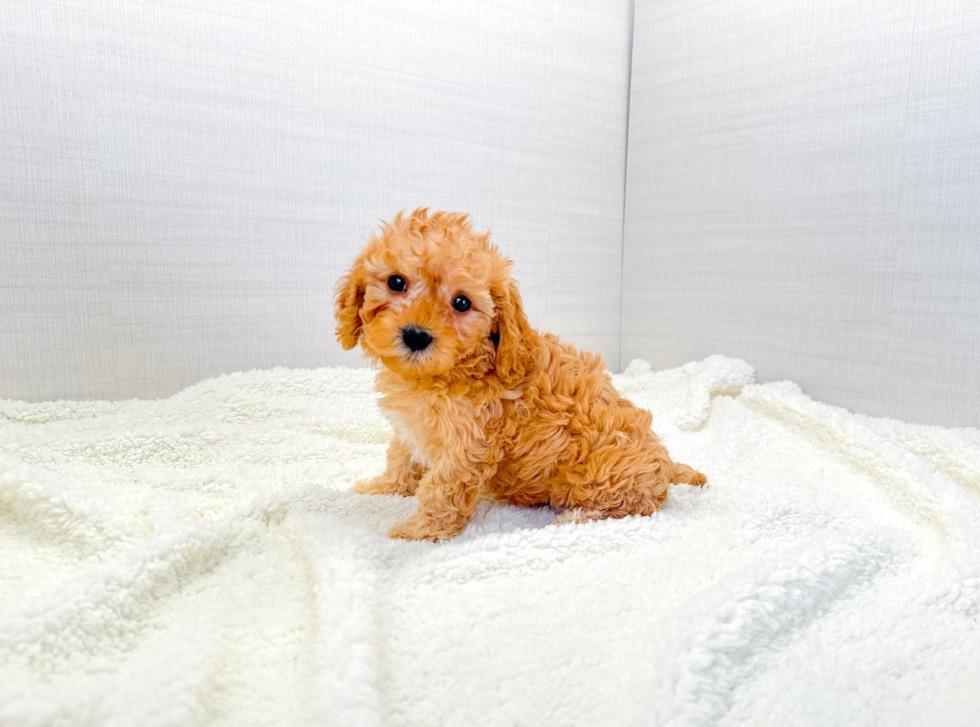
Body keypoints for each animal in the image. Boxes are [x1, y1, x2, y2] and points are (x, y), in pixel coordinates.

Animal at [336, 209, 704, 540]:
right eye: (396, 282)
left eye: (462, 303)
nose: (416, 336)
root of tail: (664, 463)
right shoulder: (411, 427)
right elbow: (401, 457)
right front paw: (385, 487)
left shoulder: (467, 445)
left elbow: (442, 490)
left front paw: (418, 532)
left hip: (611, 468)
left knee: (629, 505)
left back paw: (575, 517)